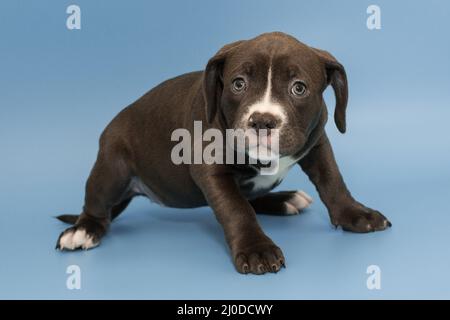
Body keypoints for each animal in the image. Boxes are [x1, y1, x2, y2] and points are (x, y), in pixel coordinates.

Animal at [57, 31, 390, 274]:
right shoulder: (210, 169)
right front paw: (256, 249)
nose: (263, 120)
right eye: (238, 84)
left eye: (299, 88)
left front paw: (355, 214)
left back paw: (284, 200)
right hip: (112, 165)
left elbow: (333, 181)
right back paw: (82, 230)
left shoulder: (317, 142)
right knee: (97, 207)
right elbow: (236, 208)